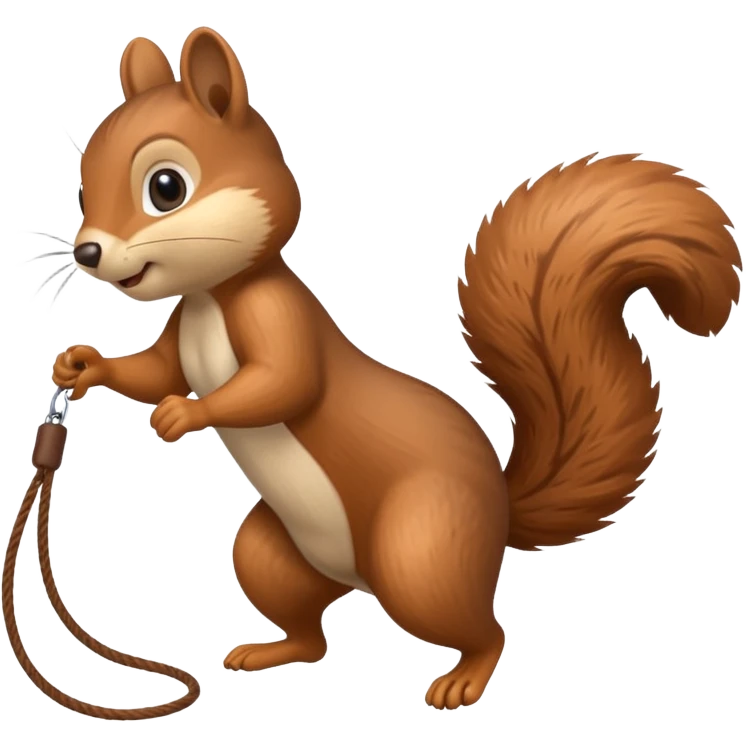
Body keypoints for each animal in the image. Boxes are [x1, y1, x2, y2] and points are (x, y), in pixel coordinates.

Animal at [49, 26, 743, 711]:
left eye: (166, 187)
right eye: (81, 189)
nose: (88, 252)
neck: (213, 296)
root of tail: (499, 513)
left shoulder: (278, 317)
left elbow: (283, 384)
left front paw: (186, 413)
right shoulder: (180, 334)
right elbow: (154, 371)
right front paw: (82, 365)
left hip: (421, 553)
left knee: (486, 630)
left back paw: (463, 680)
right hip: (273, 555)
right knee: (310, 632)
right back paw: (272, 652)